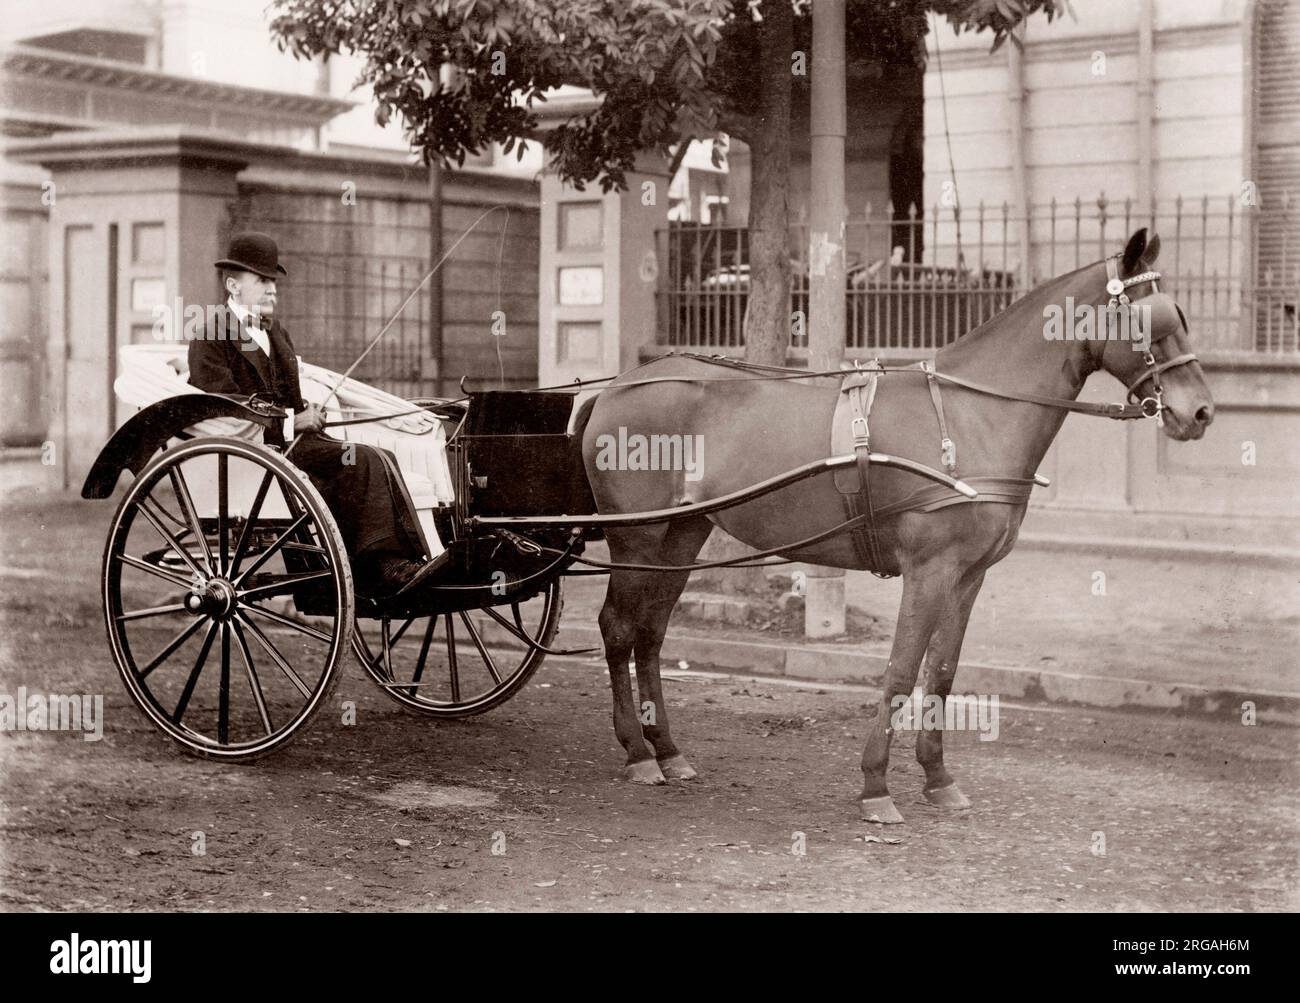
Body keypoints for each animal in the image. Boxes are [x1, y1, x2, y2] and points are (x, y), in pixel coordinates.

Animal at [579, 227, 1216, 821]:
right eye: (1153, 318)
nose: (1201, 412)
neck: (970, 414)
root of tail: (617, 387)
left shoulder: (967, 576)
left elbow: (942, 672)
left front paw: (937, 777)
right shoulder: (928, 571)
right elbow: (901, 671)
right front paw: (876, 785)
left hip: (682, 533)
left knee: (650, 633)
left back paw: (666, 749)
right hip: (637, 534)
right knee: (618, 628)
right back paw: (637, 752)